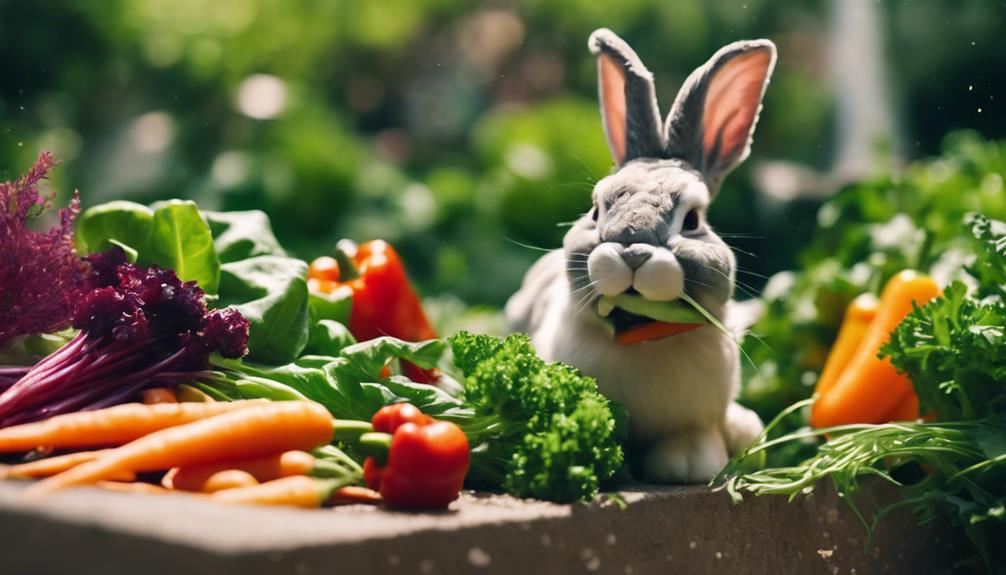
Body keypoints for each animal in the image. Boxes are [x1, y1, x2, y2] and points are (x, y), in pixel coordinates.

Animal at [505, 29, 776, 483]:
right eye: (596, 211)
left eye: (692, 220)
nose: (632, 250)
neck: (642, 336)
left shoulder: (696, 417)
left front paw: (688, 465)